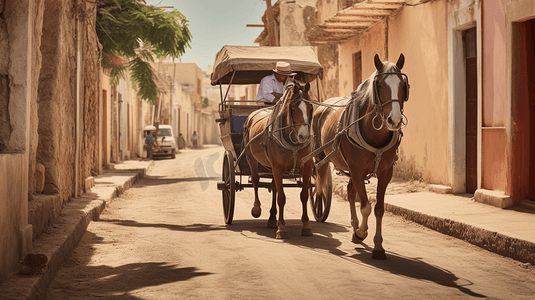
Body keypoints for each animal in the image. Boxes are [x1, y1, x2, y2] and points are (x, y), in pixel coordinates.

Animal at [245, 82, 316, 239]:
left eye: (310, 107)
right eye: (293, 108)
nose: (304, 136)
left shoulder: (307, 166)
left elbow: (304, 195)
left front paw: (306, 226)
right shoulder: (278, 167)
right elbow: (282, 198)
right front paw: (282, 228)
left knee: (273, 187)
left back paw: (272, 219)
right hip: (251, 158)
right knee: (255, 180)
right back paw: (257, 209)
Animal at [312, 53, 408, 258]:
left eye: (403, 85)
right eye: (379, 84)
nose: (395, 120)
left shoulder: (385, 173)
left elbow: (379, 208)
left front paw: (378, 246)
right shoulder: (356, 170)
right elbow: (365, 206)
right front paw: (362, 233)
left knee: (350, 192)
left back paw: (355, 227)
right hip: (321, 159)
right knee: (319, 185)